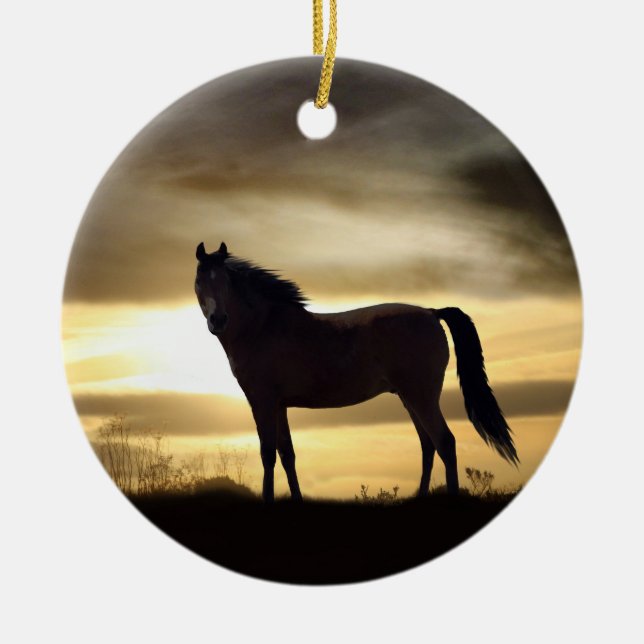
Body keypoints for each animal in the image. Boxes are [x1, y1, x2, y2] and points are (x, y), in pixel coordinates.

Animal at [194, 241, 518, 502]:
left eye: (225, 281)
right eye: (199, 281)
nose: (218, 320)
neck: (263, 327)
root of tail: (431, 313)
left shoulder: (262, 402)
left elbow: (267, 453)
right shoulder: (279, 405)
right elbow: (287, 454)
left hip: (422, 397)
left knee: (444, 443)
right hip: (410, 398)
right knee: (427, 446)